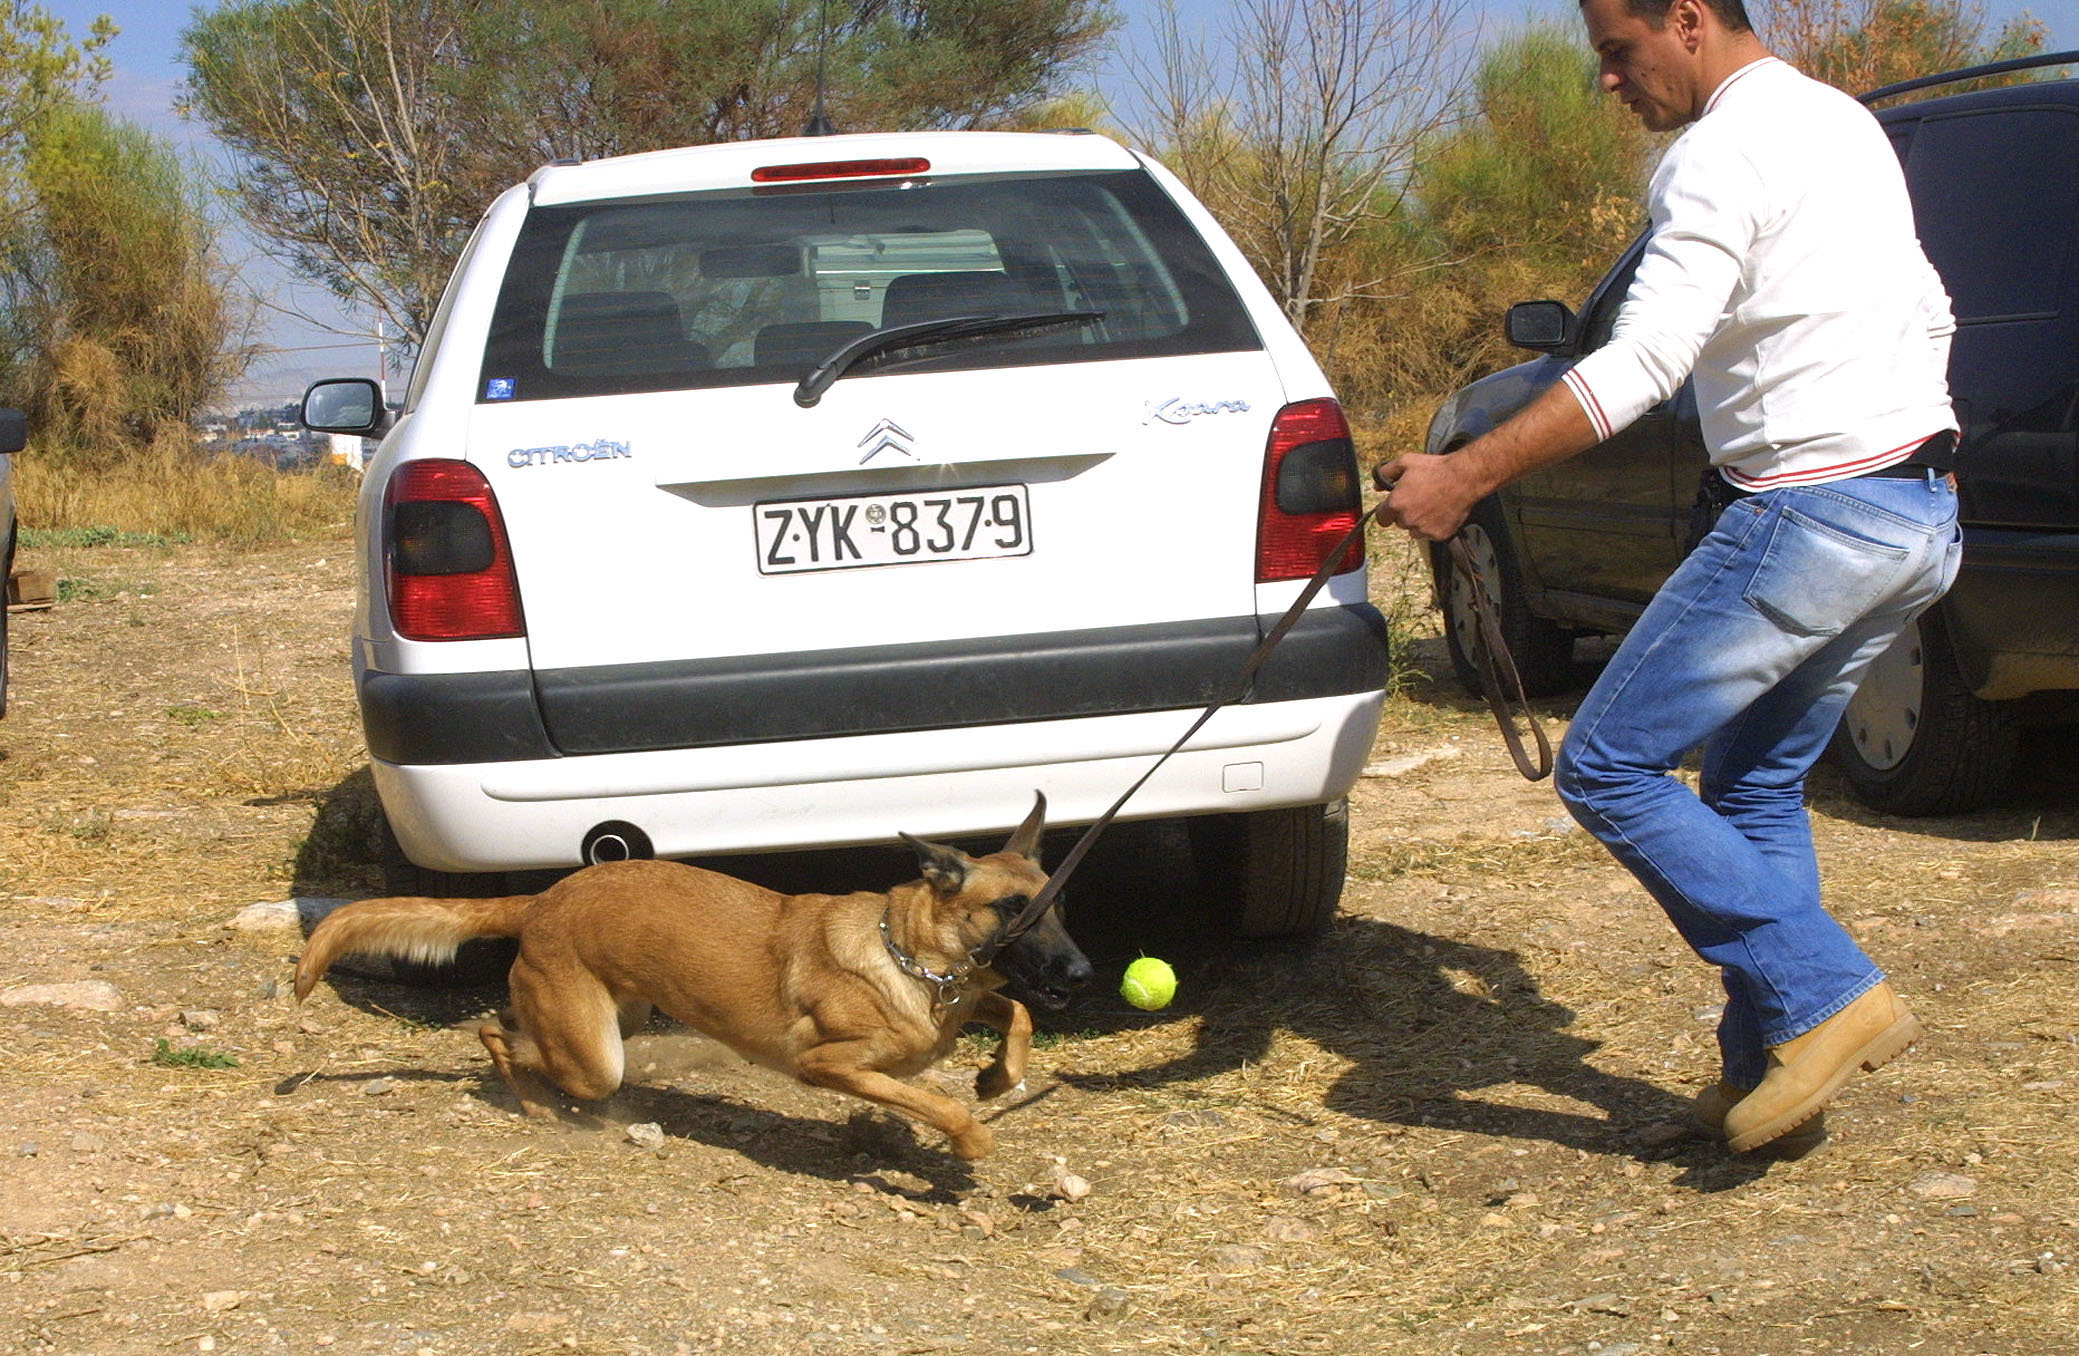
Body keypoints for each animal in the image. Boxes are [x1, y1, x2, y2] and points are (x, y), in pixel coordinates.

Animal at [303, 794, 1106, 1164]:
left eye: (1060, 906)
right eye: (1014, 911)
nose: (1084, 973)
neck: (910, 958)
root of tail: (545, 896)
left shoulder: (967, 1003)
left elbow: (1015, 1015)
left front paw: (997, 1078)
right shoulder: (829, 1066)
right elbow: (936, 1103)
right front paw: (971, 1137)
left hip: (614, 1018)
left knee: (501, 1023)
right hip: (597, 1056)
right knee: (496, 1035)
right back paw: (529, 1100)